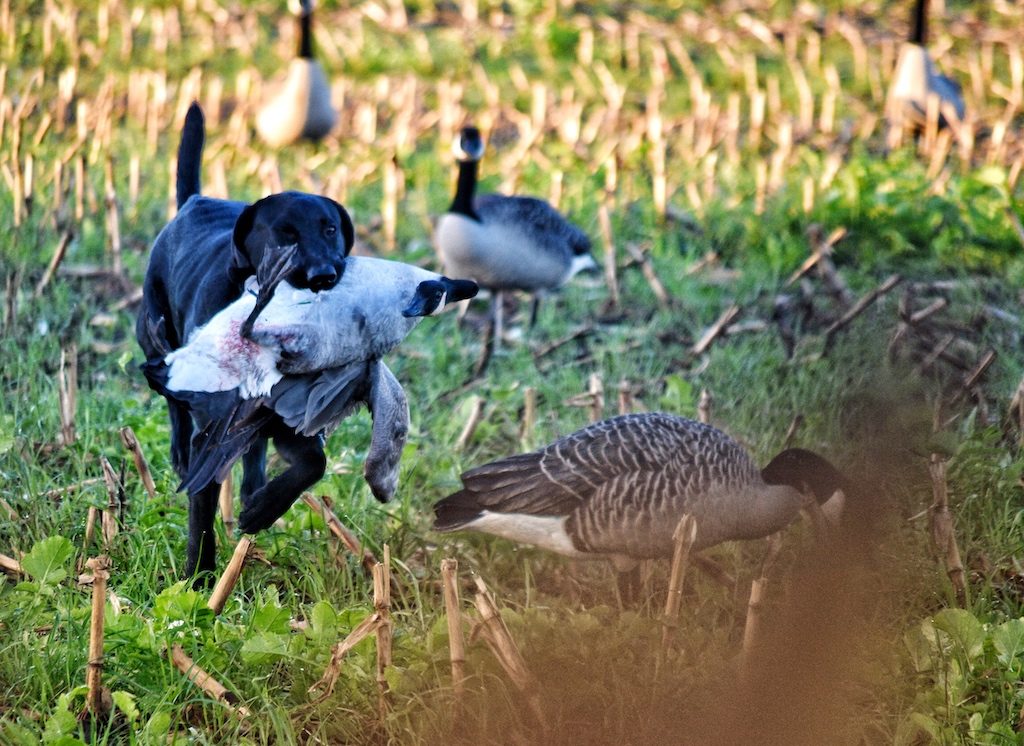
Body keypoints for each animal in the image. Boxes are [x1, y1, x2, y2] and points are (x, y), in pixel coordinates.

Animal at [137, 101, 356, 577]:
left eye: (330, 229)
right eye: (285, 233)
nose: (324, 276)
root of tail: (195, 201)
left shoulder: (290, 424)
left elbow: (313, 463)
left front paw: (262, 508)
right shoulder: (212, 431)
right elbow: (200, 512)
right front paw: (200, 580)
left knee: (254, 449)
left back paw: (253, 486)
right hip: (152, 331)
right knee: (172, 401)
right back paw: (181, 452)